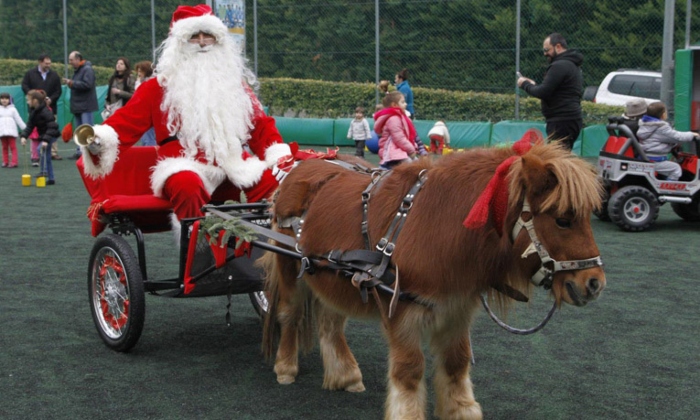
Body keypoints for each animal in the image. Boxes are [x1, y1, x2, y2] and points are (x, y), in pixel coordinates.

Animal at [260, 142, 604, 420]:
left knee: (330, 324)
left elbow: (456, 363)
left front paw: (461, 410)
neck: (438, 225)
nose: (594, 283)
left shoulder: (456, 310)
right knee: (290, 314)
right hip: (291, 266)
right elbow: (410, 370)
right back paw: (285, 368)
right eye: (563, 220)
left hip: (332, 277)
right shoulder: (401, 311)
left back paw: (345, 375)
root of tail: (302, 166)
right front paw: (408, 413)